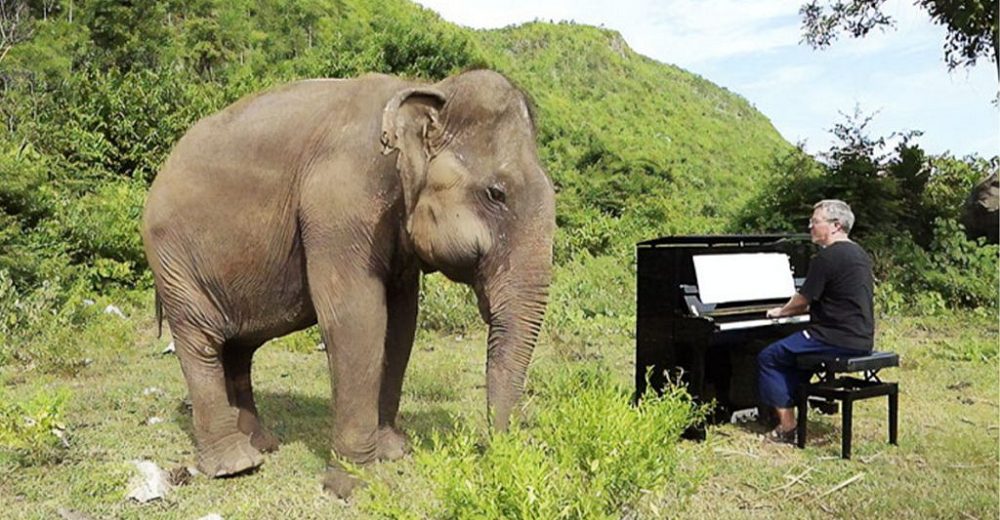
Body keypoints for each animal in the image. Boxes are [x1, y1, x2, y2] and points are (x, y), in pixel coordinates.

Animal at [143, 69, 556, 496]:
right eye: (497, 194)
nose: (493, 450)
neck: (426, 90)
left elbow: (401, 324)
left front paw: (392, 452)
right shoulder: (339, 206)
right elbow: (357, 320)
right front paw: (353, 483)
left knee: (239, 348)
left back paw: (262, 445)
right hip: (173, 261)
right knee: (201, 342)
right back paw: (236, 465)